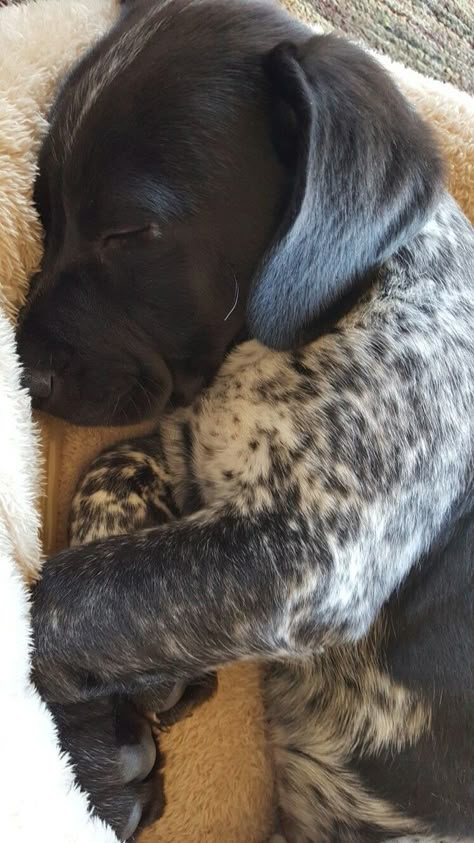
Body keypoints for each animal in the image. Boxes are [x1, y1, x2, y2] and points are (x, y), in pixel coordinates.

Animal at [15, 0, 474, 840]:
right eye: (44, 210)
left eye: (130, 233)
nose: (24, 369)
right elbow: (109, 482)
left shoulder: (308, 556)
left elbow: (58, 597)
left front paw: (88, 753)